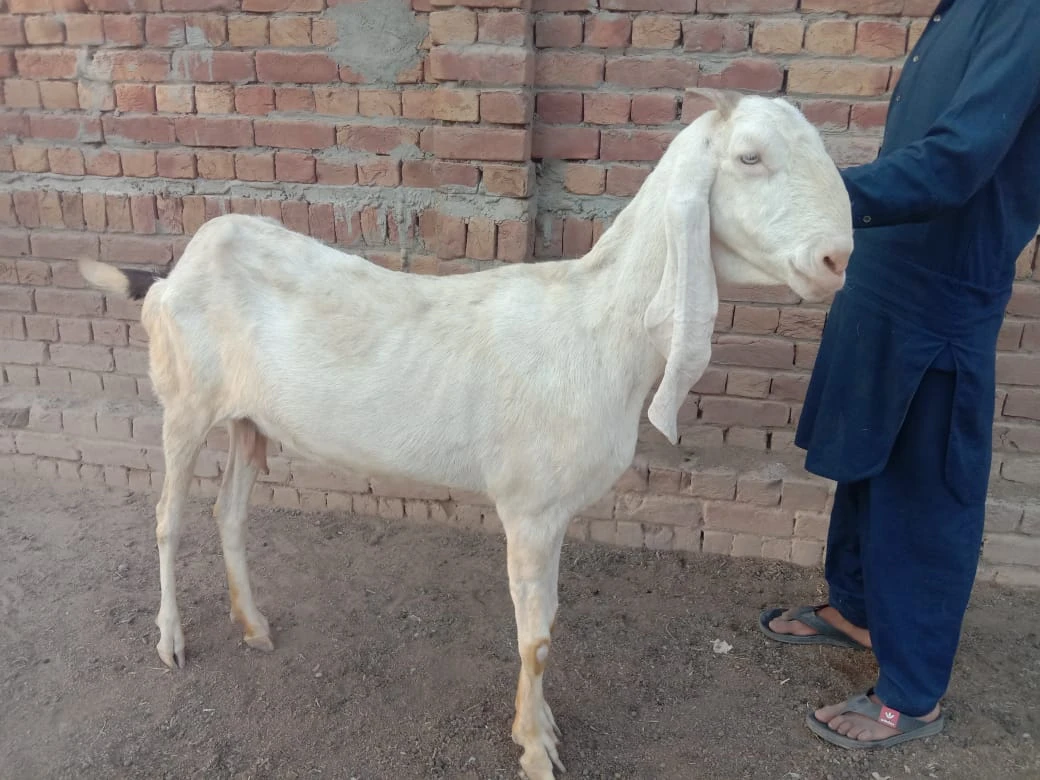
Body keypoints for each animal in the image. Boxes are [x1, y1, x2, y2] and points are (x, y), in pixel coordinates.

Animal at [81, 93, 852, 780]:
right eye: (750, 157)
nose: (836, 261)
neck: (597, 326)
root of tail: (173, 270)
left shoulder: (553, 512)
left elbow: (547, 626)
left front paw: (542, 729)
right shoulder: (530, 508)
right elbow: (536, 638)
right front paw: (535, 751)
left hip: (249, 420)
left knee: (230, 514)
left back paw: (256, 628)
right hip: (184, 403)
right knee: (168, 518)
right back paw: (171, 641)